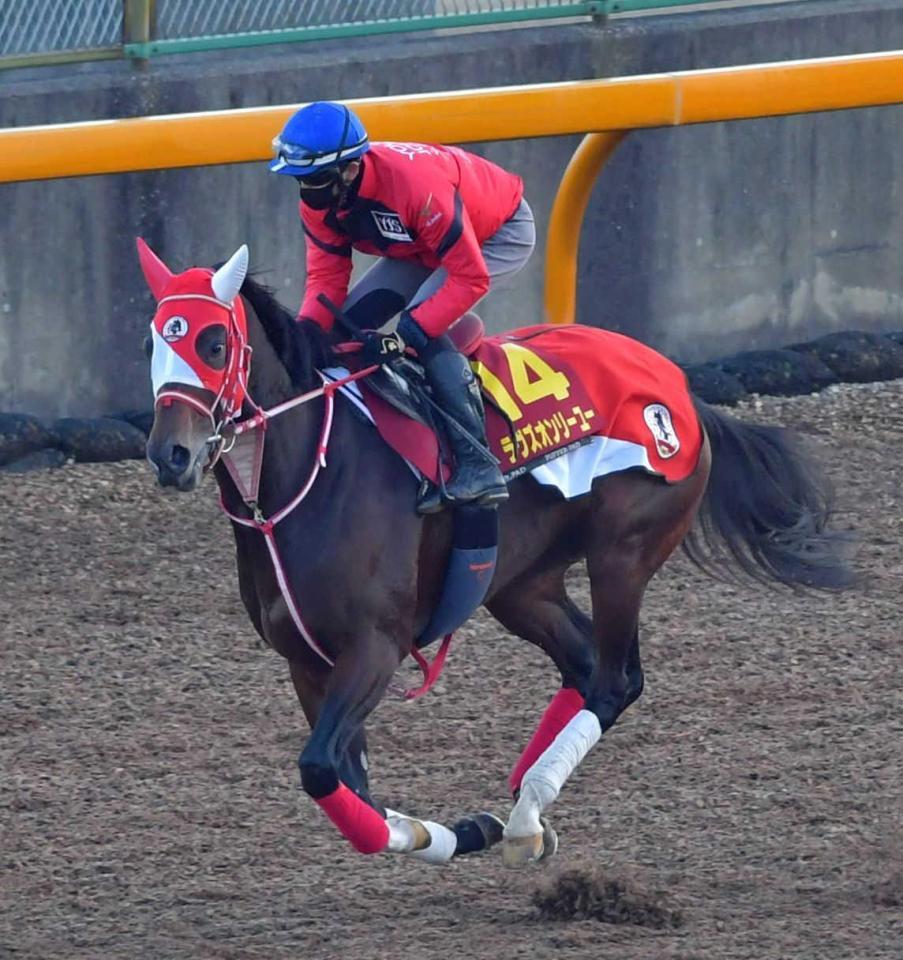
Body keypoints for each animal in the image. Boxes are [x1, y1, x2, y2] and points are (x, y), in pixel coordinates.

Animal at [138, 242, 852, 872]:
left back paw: (528, 811)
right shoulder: (307, 663)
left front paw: (461, 830)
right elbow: (352, 791)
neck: (301, 483)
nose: (170, 454)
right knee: (585, 664)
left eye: (213, 343)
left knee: (616, 679)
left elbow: (320, 772)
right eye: (152, 344)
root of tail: (678, 384)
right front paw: (460, 831)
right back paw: (524, 814)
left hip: (622, 556)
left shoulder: (375, 646)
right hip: (521, 585)